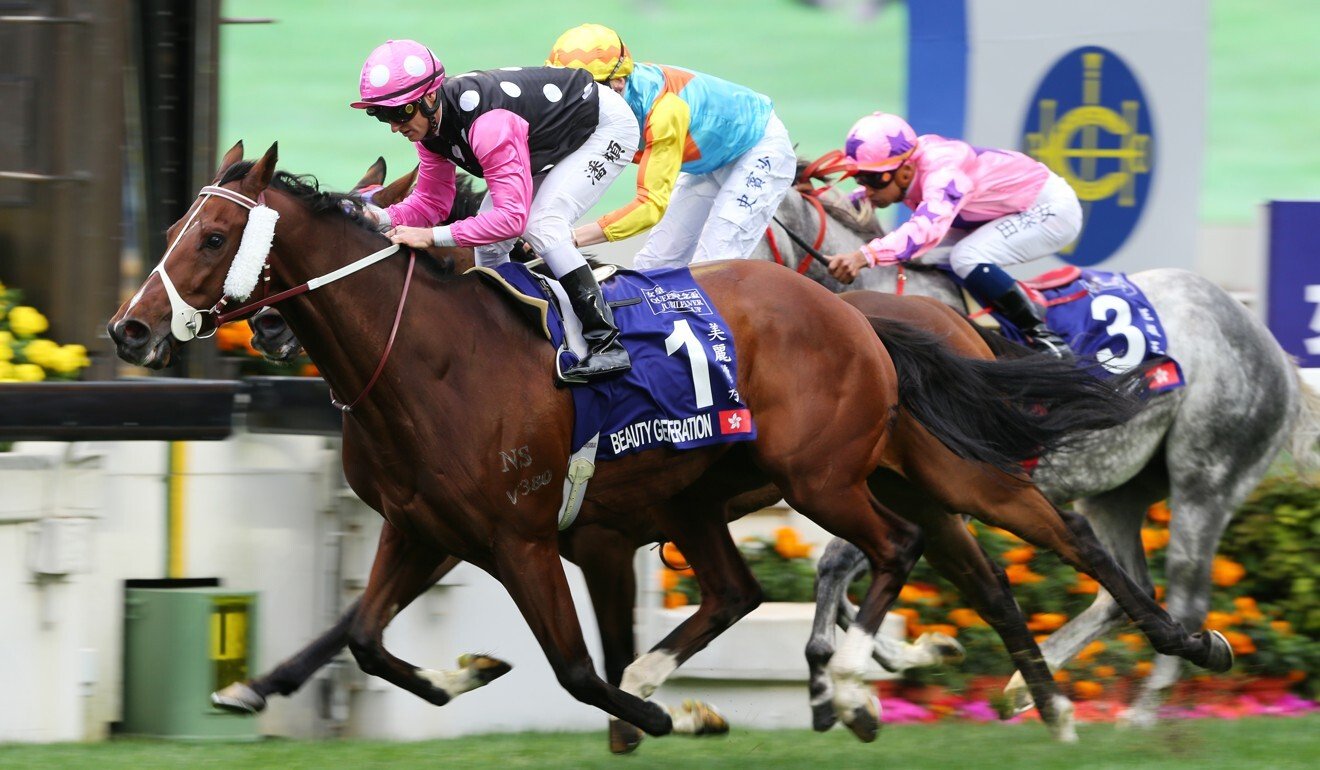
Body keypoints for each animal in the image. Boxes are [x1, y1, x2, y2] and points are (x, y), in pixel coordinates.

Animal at [108, 141, 1230, 744]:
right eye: (169, 230)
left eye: (214, 237)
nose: (129, 330)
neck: (428, 358)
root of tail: (861, 313)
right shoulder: (427, 528)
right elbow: (366, 637)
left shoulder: (527, 539)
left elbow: (572, 667)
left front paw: (667, 716)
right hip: (839, 484)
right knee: (947, 576)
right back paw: (1042, 699)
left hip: (856, 475)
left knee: (992, 545)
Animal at [770, 188, 1320, 729]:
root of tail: (1278, 353)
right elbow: (836, 571)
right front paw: (871, 670)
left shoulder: (947, 488)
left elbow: (845, 563)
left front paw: (865, 675)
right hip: (1119, 490)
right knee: (1119, 588)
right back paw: (1022, 688)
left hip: (1207, 478)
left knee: (1186, 592)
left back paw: (1141, 711)